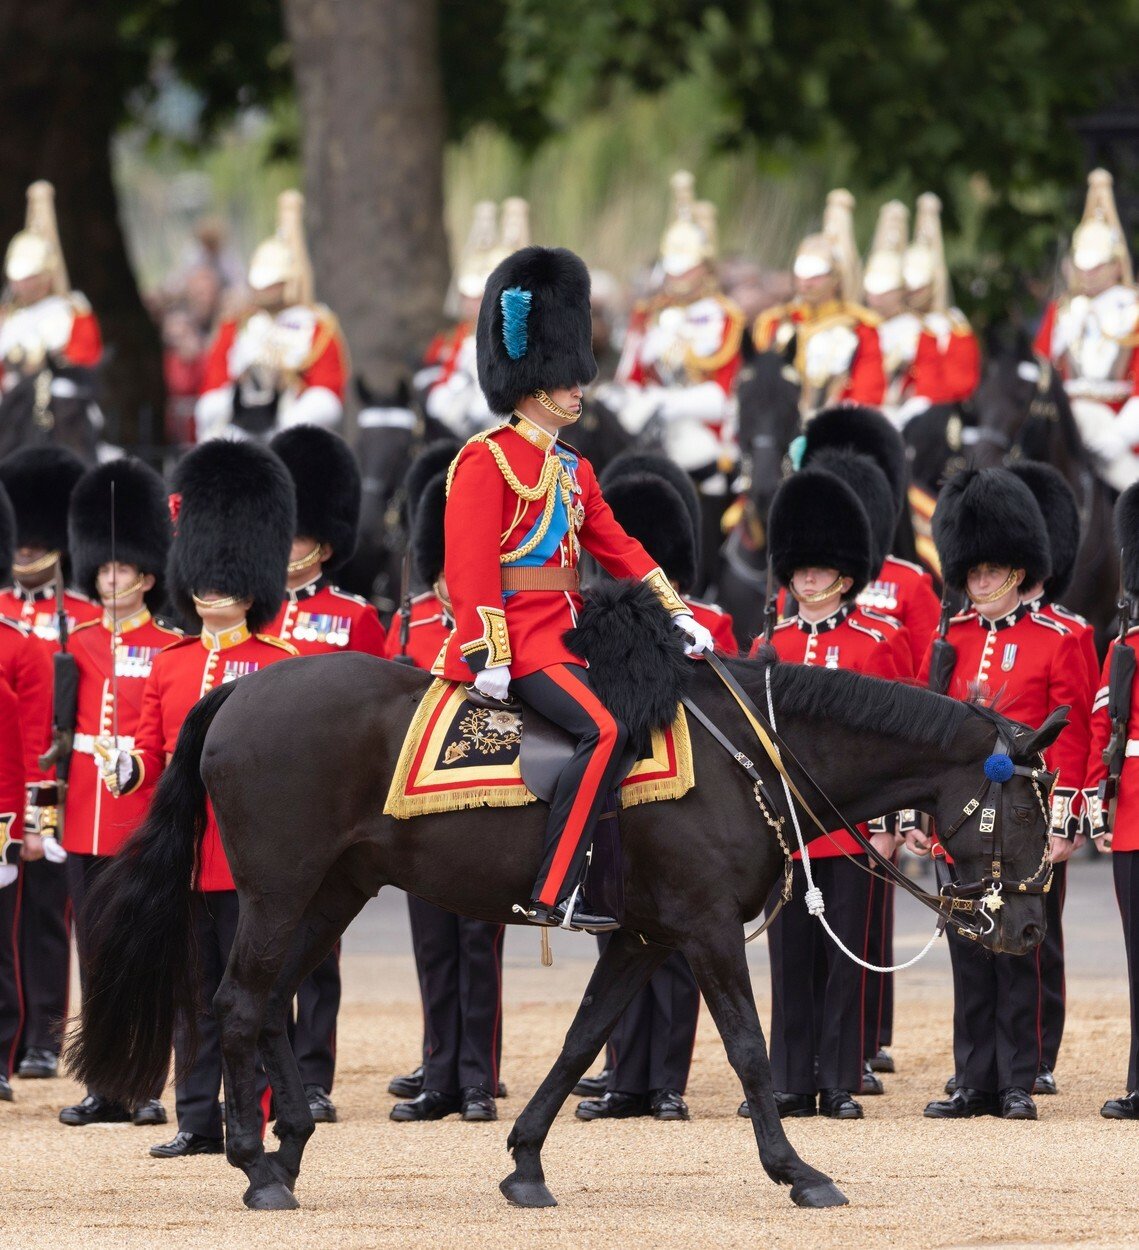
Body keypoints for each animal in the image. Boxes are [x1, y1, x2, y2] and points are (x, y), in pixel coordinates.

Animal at [66, 590, 1055, 1215]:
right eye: (1020, 807)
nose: (1023, 927)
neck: (750, 756)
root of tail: (241, 689)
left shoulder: (646, 935)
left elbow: (584, 1039)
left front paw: (525, 1162)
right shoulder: (703, 930)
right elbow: (746, 1048)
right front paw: (796, 1169)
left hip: (335, 888)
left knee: (268, 1000)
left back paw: (288, 1144)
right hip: (279, 885)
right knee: (239, 1001)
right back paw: (255, 1164)